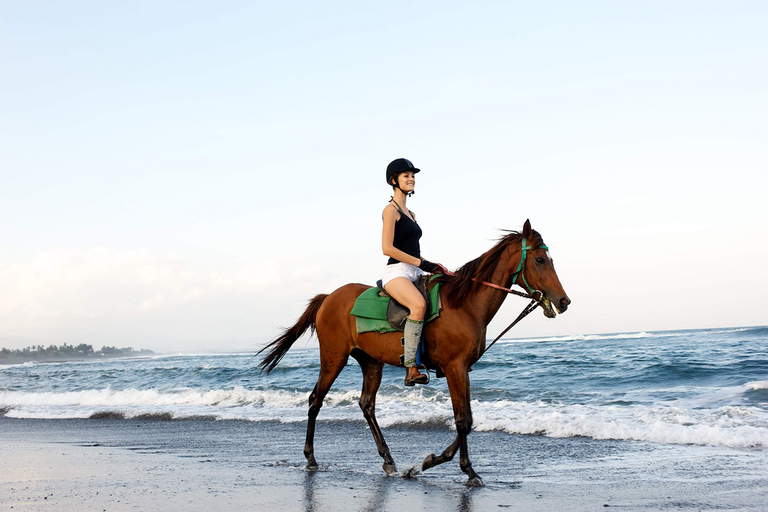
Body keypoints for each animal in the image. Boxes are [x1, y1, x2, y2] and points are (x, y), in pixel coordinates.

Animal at [260, 219, 568, 484]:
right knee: (316, 400)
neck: (464, 304)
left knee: (366, 405)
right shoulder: (455, 367)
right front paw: (463, 469)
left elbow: (466, 419)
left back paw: (387, 460)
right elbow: (463, 420)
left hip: (371, 362)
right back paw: (311, 458)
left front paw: (432, 461)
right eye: (540, 260)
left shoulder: (462, 369)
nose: (564, 301)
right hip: (333, 357)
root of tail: (328, 298)